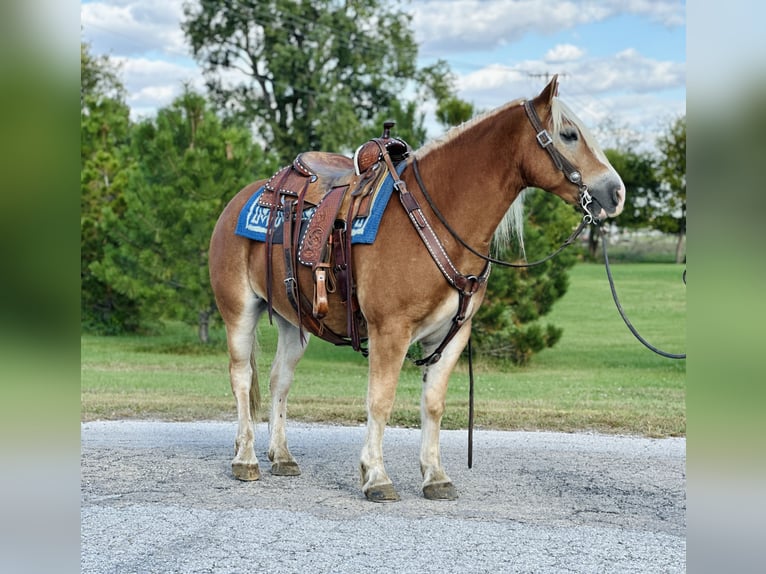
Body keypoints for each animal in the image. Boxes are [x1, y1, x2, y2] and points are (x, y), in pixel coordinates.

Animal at [208, 74, 624, 502]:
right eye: (569, 134)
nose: (616, 192)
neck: (436, 219)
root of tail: (242, 198)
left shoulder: (452, 335)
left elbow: (434, 405)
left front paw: (435, 476)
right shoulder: (389, 331)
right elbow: (380, 401)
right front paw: (376, 476)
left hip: (294, 320)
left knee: (279, 380)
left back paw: (282, 455)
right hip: (238, 311)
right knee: (241, 377)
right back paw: (246, 459)